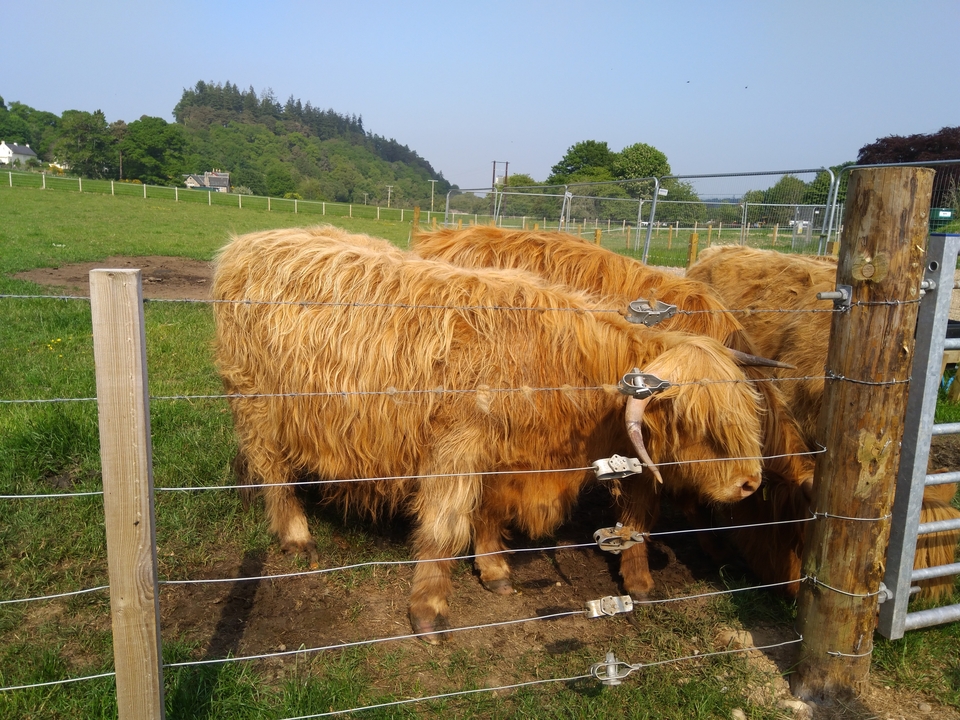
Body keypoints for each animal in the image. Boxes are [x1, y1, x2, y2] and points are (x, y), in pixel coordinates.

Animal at [213, 225, 775, 639]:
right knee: (272, 471)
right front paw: (429, 610)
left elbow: (489, 513)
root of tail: (247, 242)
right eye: (696, 420)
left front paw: (494, 571)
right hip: (255, 403)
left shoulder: (503, 457)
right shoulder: (456, 449)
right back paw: (296, 535)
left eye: (747, 411)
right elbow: (443, 528)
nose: (751, 483)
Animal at [412, 226, 816, 595]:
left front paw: (714, 547)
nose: (797, 589)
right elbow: (642, 512)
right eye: (795, 530)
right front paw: (640, 577)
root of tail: (445, 234)